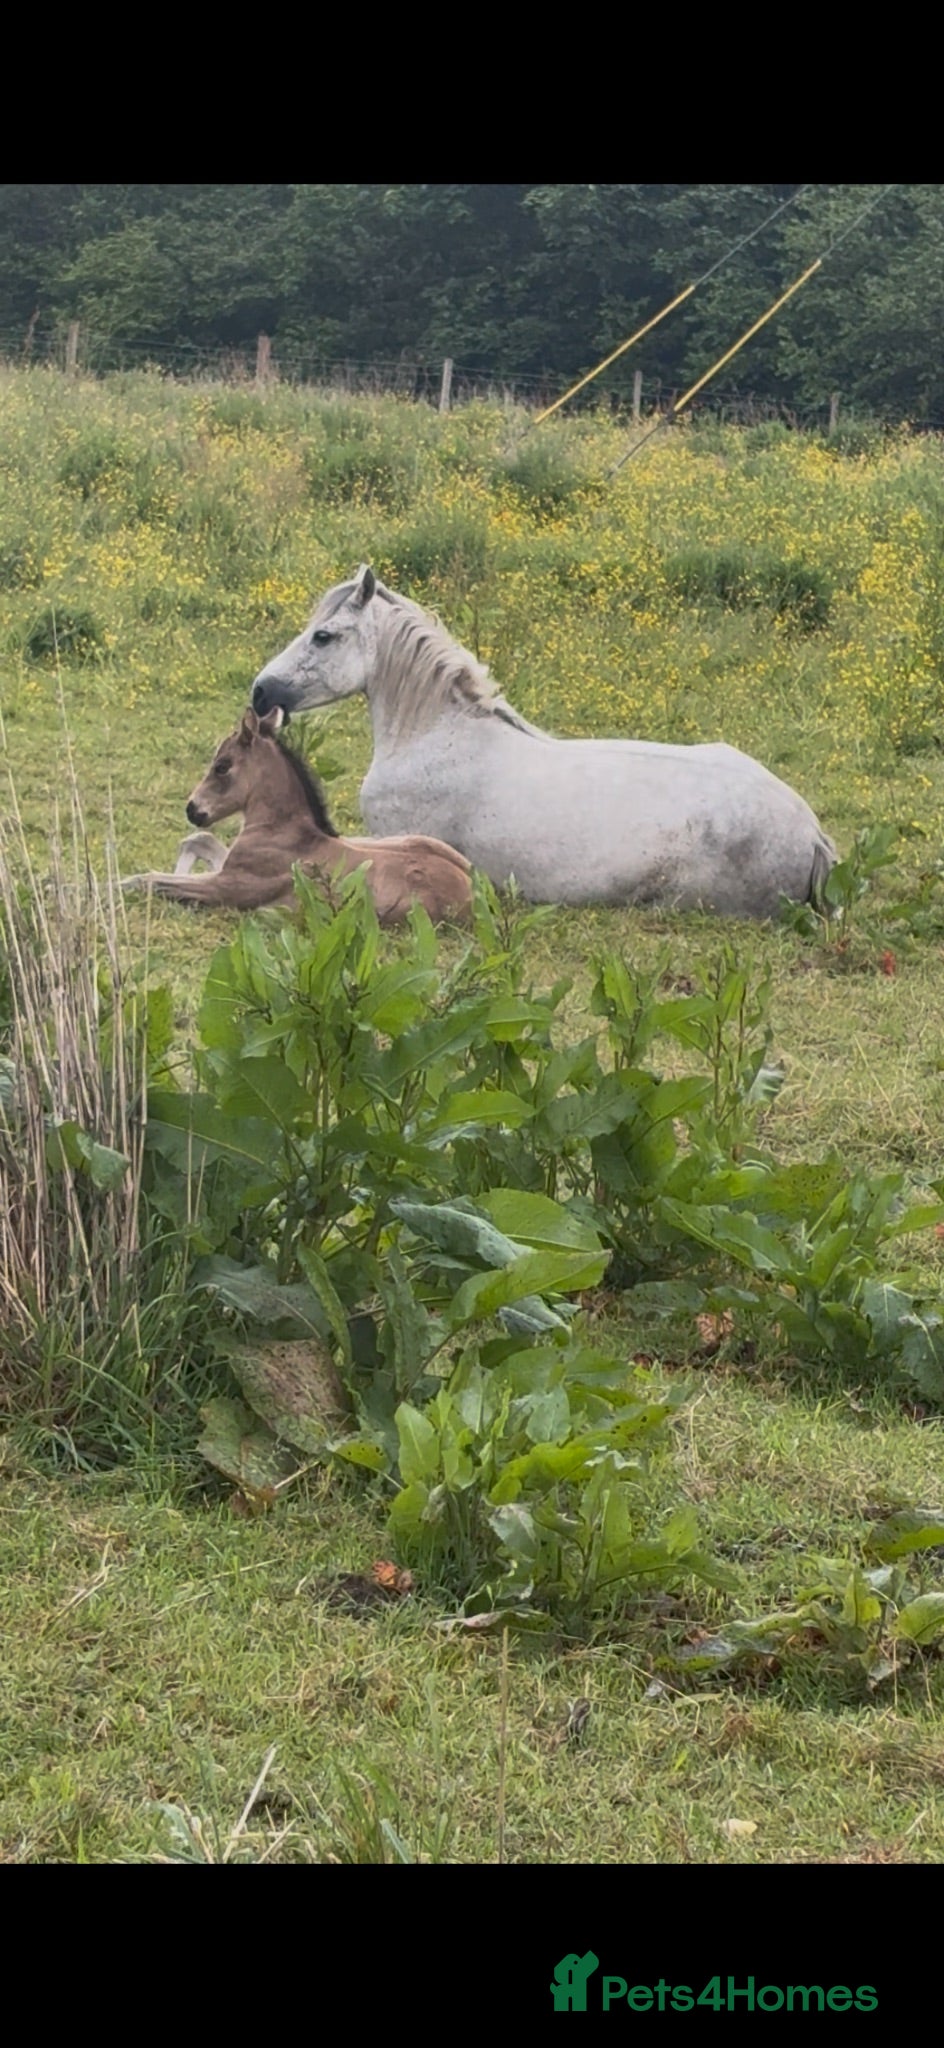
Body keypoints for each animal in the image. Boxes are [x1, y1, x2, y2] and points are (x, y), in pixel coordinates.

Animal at [121, 706, 473, 924]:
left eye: (222, 766)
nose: (193, 808)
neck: (282, 831)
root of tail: (476, 889)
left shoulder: (227, 887)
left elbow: (152, 880)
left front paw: (117, 885)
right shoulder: (228, 866)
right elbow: (198, 840)